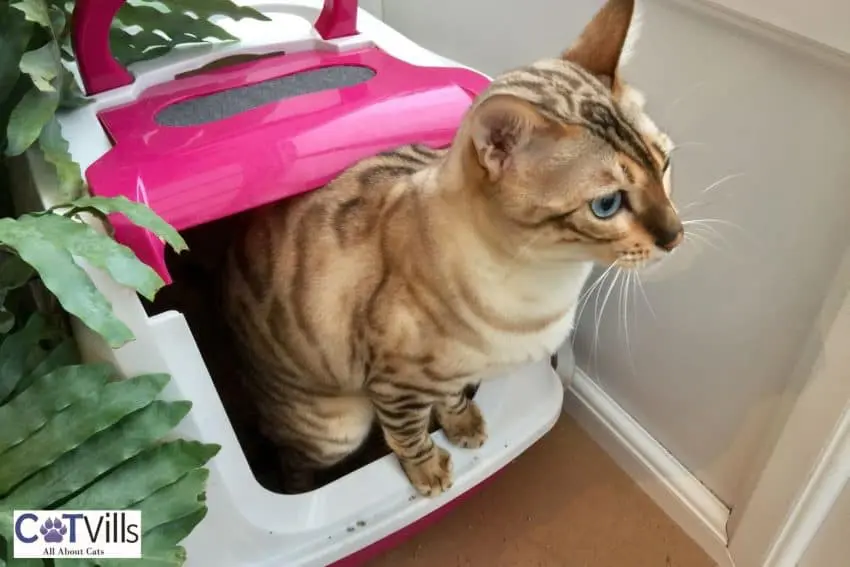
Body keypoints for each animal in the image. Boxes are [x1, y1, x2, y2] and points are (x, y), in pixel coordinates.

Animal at [222, 0, 680, 496]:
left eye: (665, 165)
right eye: (606, 204)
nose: (676, 235)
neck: (546, 283)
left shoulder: (446, 377)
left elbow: (453, 399)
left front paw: (463, 426)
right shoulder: (393, 384)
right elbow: (408, 434)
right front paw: (429, 471)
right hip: (337, 428)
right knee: (294, 462)